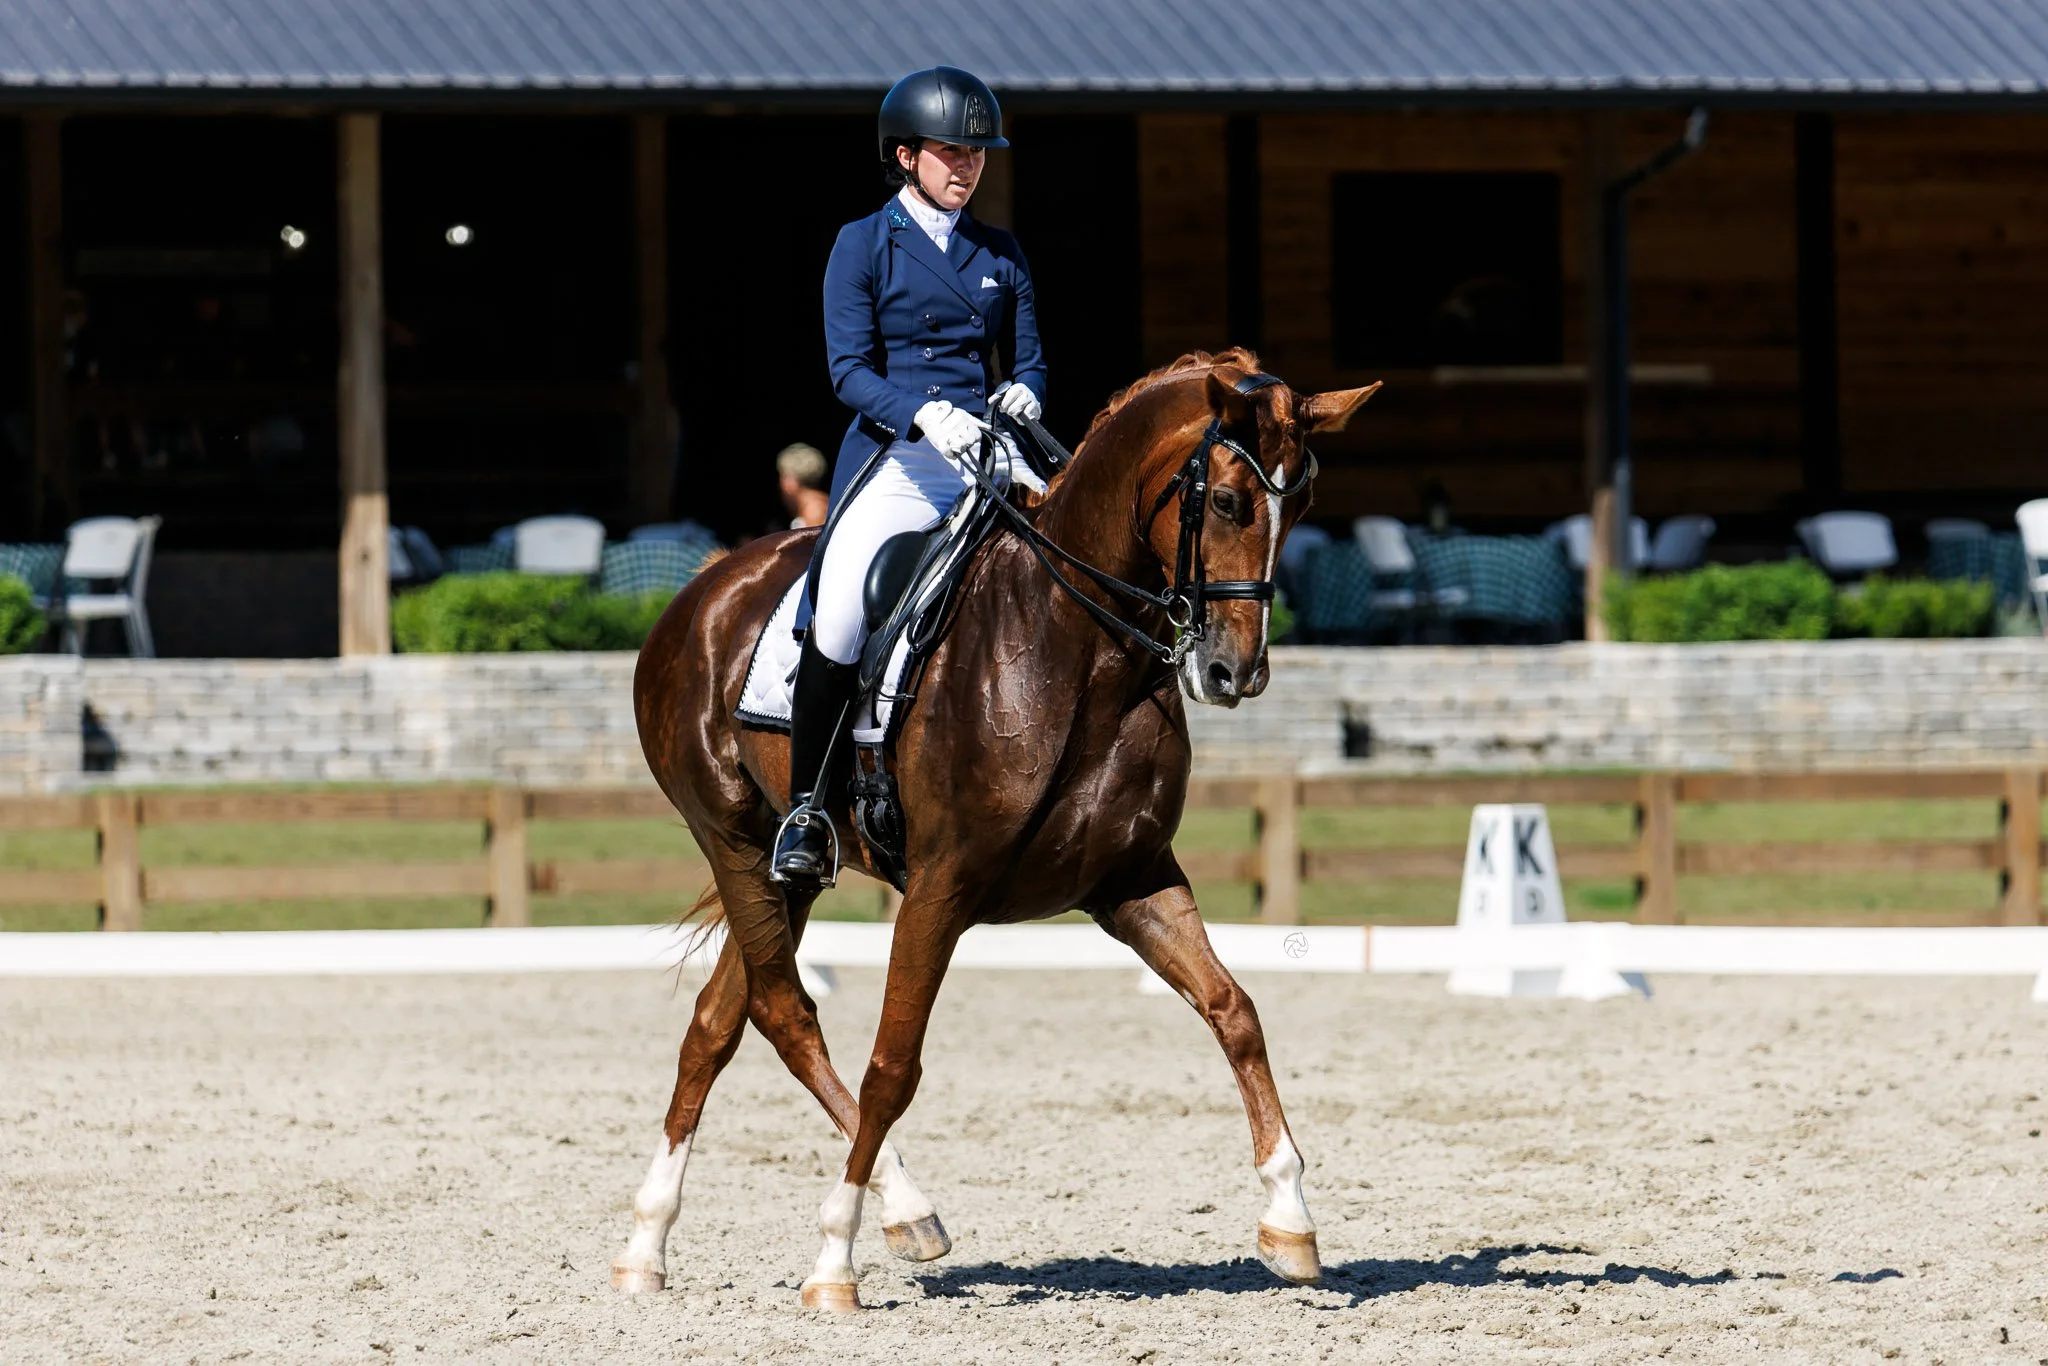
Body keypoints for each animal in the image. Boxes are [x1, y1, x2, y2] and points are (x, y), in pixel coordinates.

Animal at [614, 348, 1379, 1311]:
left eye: (1303, 506)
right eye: (1232, 502)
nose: (1233, 672)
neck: (1078, 650)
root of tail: (704, 586)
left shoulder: (1132, 880)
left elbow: (1234, 1011)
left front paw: (1290, 1218)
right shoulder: (941, 890)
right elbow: (893, 1065)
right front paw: (833, 1262)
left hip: (791, 873)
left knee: (721, 1020)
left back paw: (654, 1242)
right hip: (737, 842)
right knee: (785, 1012)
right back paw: (885, 1213)